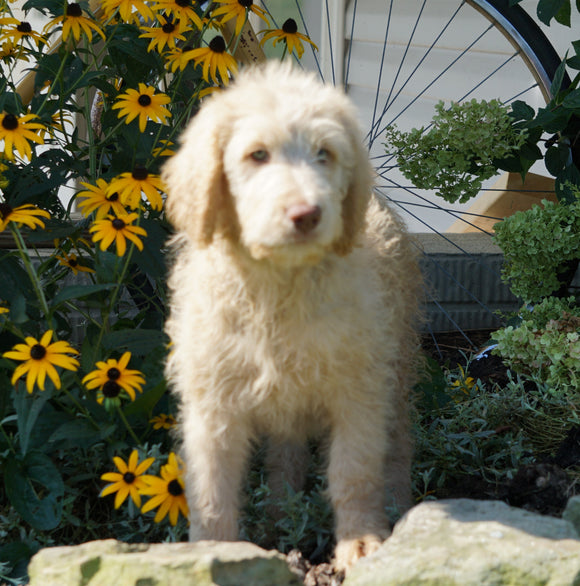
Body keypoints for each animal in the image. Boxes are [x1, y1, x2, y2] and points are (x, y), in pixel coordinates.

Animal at [163, 62, 422, 572]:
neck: (278, 288)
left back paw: (397, 506)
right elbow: (212, 490)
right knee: (286, 457)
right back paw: (282, 518)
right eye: (257, 155)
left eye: (325, 154)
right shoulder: (213, 405)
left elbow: (354, 472)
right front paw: (212, 548)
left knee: (398, 444)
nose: (307, 214)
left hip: (396, 364)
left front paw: (361, 540)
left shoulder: (359, 392)